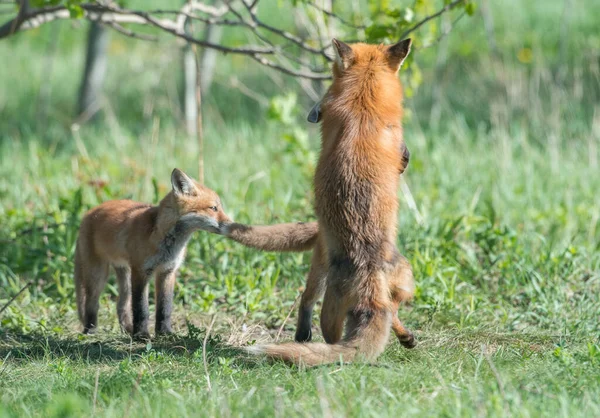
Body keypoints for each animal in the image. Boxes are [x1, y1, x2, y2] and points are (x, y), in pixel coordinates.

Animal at [74, 168, 232, 338]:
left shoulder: (167, 271)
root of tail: (89, 213)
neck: (165, 241)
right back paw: (90, 329)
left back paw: (128, 330)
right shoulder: (141, 271)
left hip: (125, 276)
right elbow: (141, 308)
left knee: (121, 305)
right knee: (92, 302)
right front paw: (142, 335)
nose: (231, 224)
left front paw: (164, 333)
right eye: (213, 208)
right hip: (98, 274)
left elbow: (165, 308)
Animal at [226, 39, 418, 366]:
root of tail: (368, 275)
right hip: (374, 288)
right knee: (363, 318)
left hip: (382, 283)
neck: (365, 98)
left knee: (367, 313)